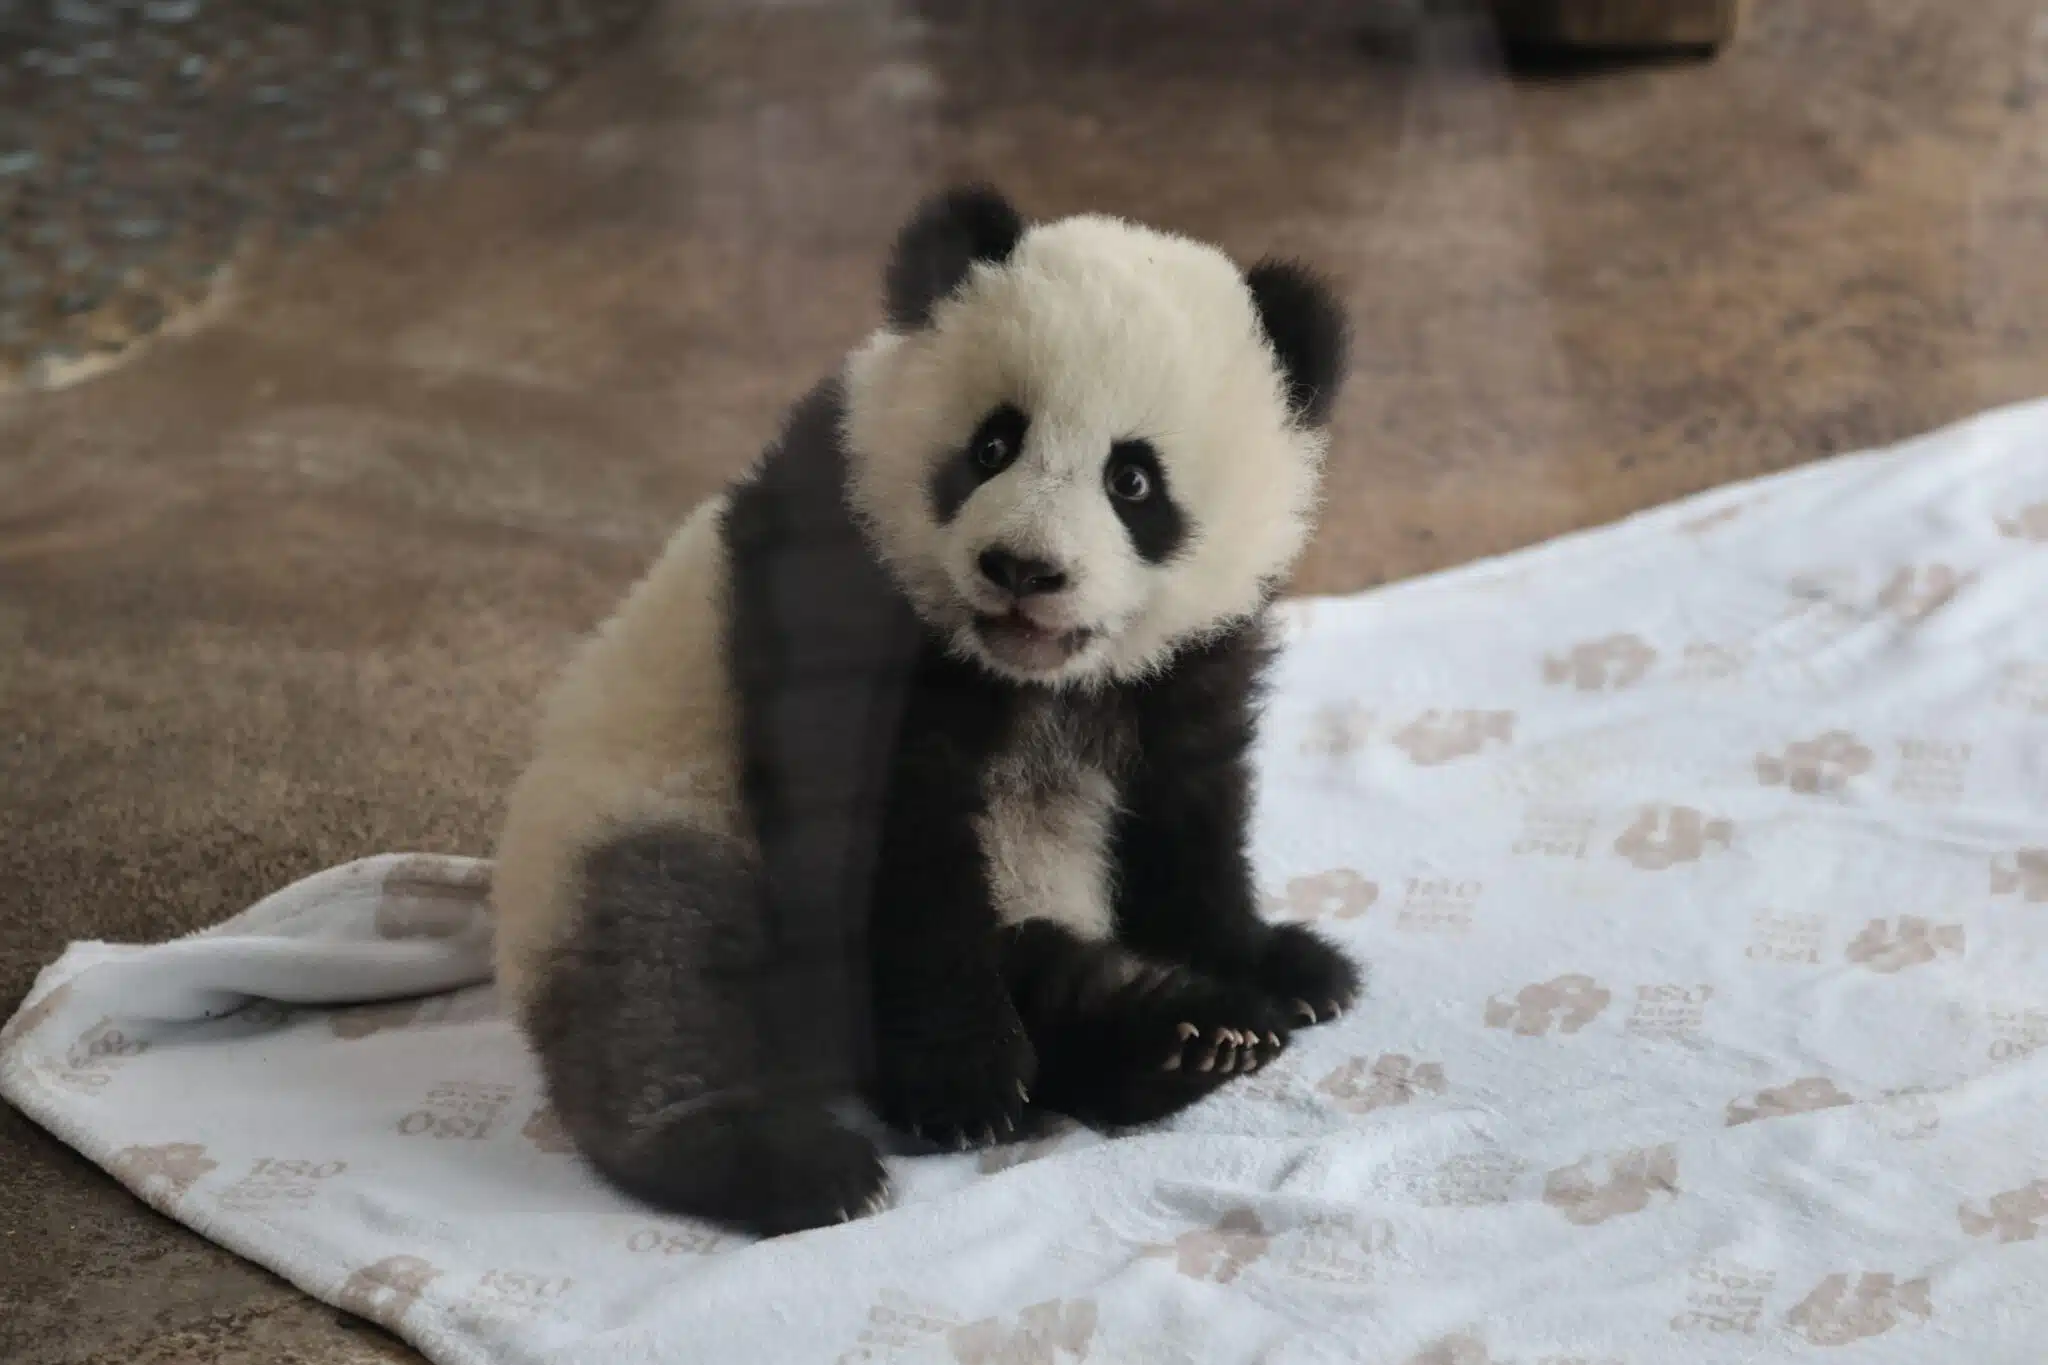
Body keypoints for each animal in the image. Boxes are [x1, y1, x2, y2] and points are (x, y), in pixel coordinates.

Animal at [490, 185, 1362, 1238]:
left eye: (1133, 479)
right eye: (993, 444)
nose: (1023, 568)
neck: (1031, 673)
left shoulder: (1187, 656)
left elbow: (1190, 805)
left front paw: (1278, 966)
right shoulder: (847, 583)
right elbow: (887, 841)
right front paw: (965, 1081)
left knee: (1045, 971)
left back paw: (1181, 1037)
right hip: (642, 820)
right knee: (665, 975)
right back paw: (786, 1158)